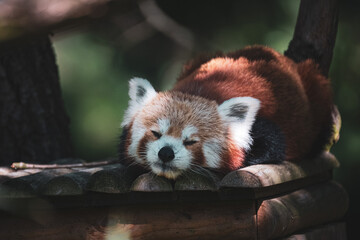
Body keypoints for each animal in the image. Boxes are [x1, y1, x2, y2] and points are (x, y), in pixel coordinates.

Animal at [119, 46, 334, 179]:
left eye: (190, 141)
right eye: (156, 133)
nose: (165, 153)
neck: (197, 92)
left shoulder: (264, 127)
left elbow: (273, 145)